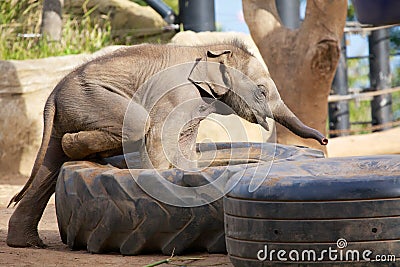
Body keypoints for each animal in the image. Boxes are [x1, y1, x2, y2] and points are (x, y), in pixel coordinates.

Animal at [6, 40, 326, 249]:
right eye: (261, 91)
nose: (324, 140)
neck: (208, 49)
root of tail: (52, 94)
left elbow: (186, 145)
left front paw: (188, 166)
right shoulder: (177, 94)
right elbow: (161, 134)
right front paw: (160, 175)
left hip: (72, 108)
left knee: (49, 166)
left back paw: (28, 244)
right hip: (91, 98)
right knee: (137, 123)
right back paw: (79, 148)